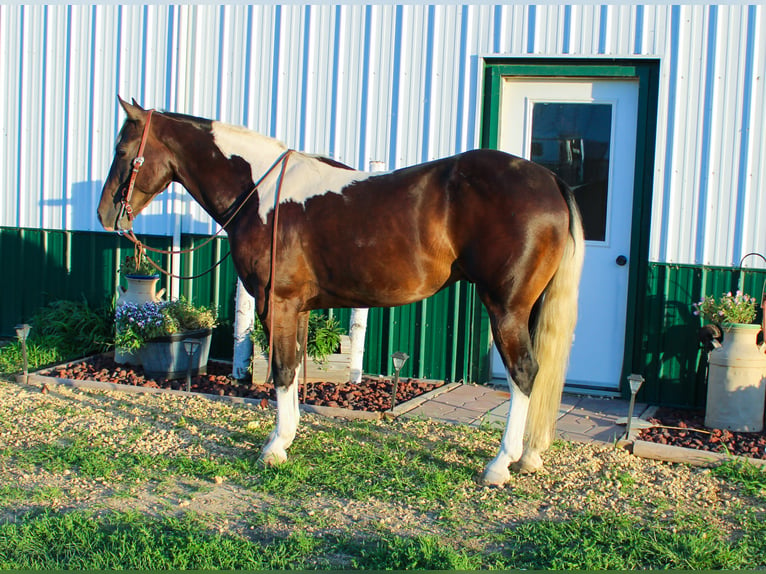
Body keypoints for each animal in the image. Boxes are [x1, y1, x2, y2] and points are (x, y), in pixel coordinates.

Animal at [97, 98, 588, 486]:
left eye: (122, 150)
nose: (105, 215)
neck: (258, 192)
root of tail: (548, 180)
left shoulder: (277, 304)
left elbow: (282, 371)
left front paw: (274, 447)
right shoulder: (295, 308)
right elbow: (295, 369)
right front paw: (288, 436)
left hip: (506, 308)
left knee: (524, 374)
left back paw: (501, 464)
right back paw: (529, 457)